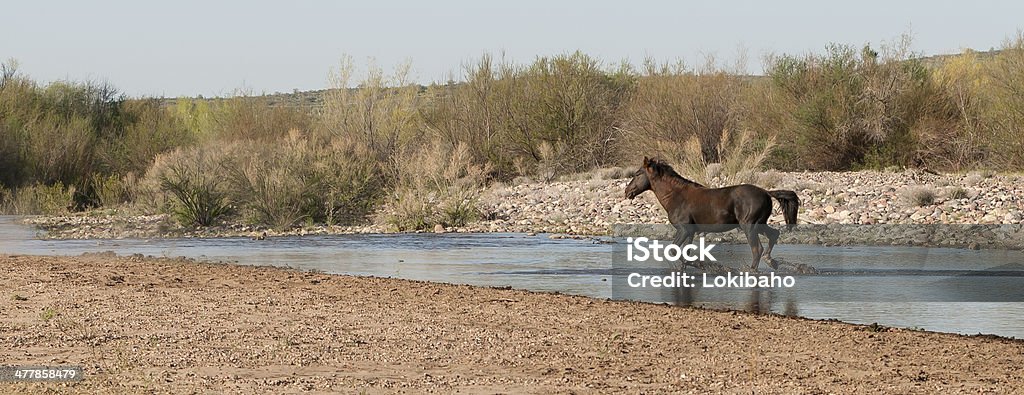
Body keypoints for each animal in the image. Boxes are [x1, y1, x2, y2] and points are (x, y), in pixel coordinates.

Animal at [622, 157, 798, 272]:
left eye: (637, 174)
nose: (627, 191)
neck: (676, 196)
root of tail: (766, 192)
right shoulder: (691, 231)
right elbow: (685, 253)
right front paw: (692, 265)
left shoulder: (684, 229)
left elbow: (673, 251)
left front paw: (703, 265)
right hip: (759, 224)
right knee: (774, 234)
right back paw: (771, 262)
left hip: (749, 226)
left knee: (757, 249)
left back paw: (751, 270)